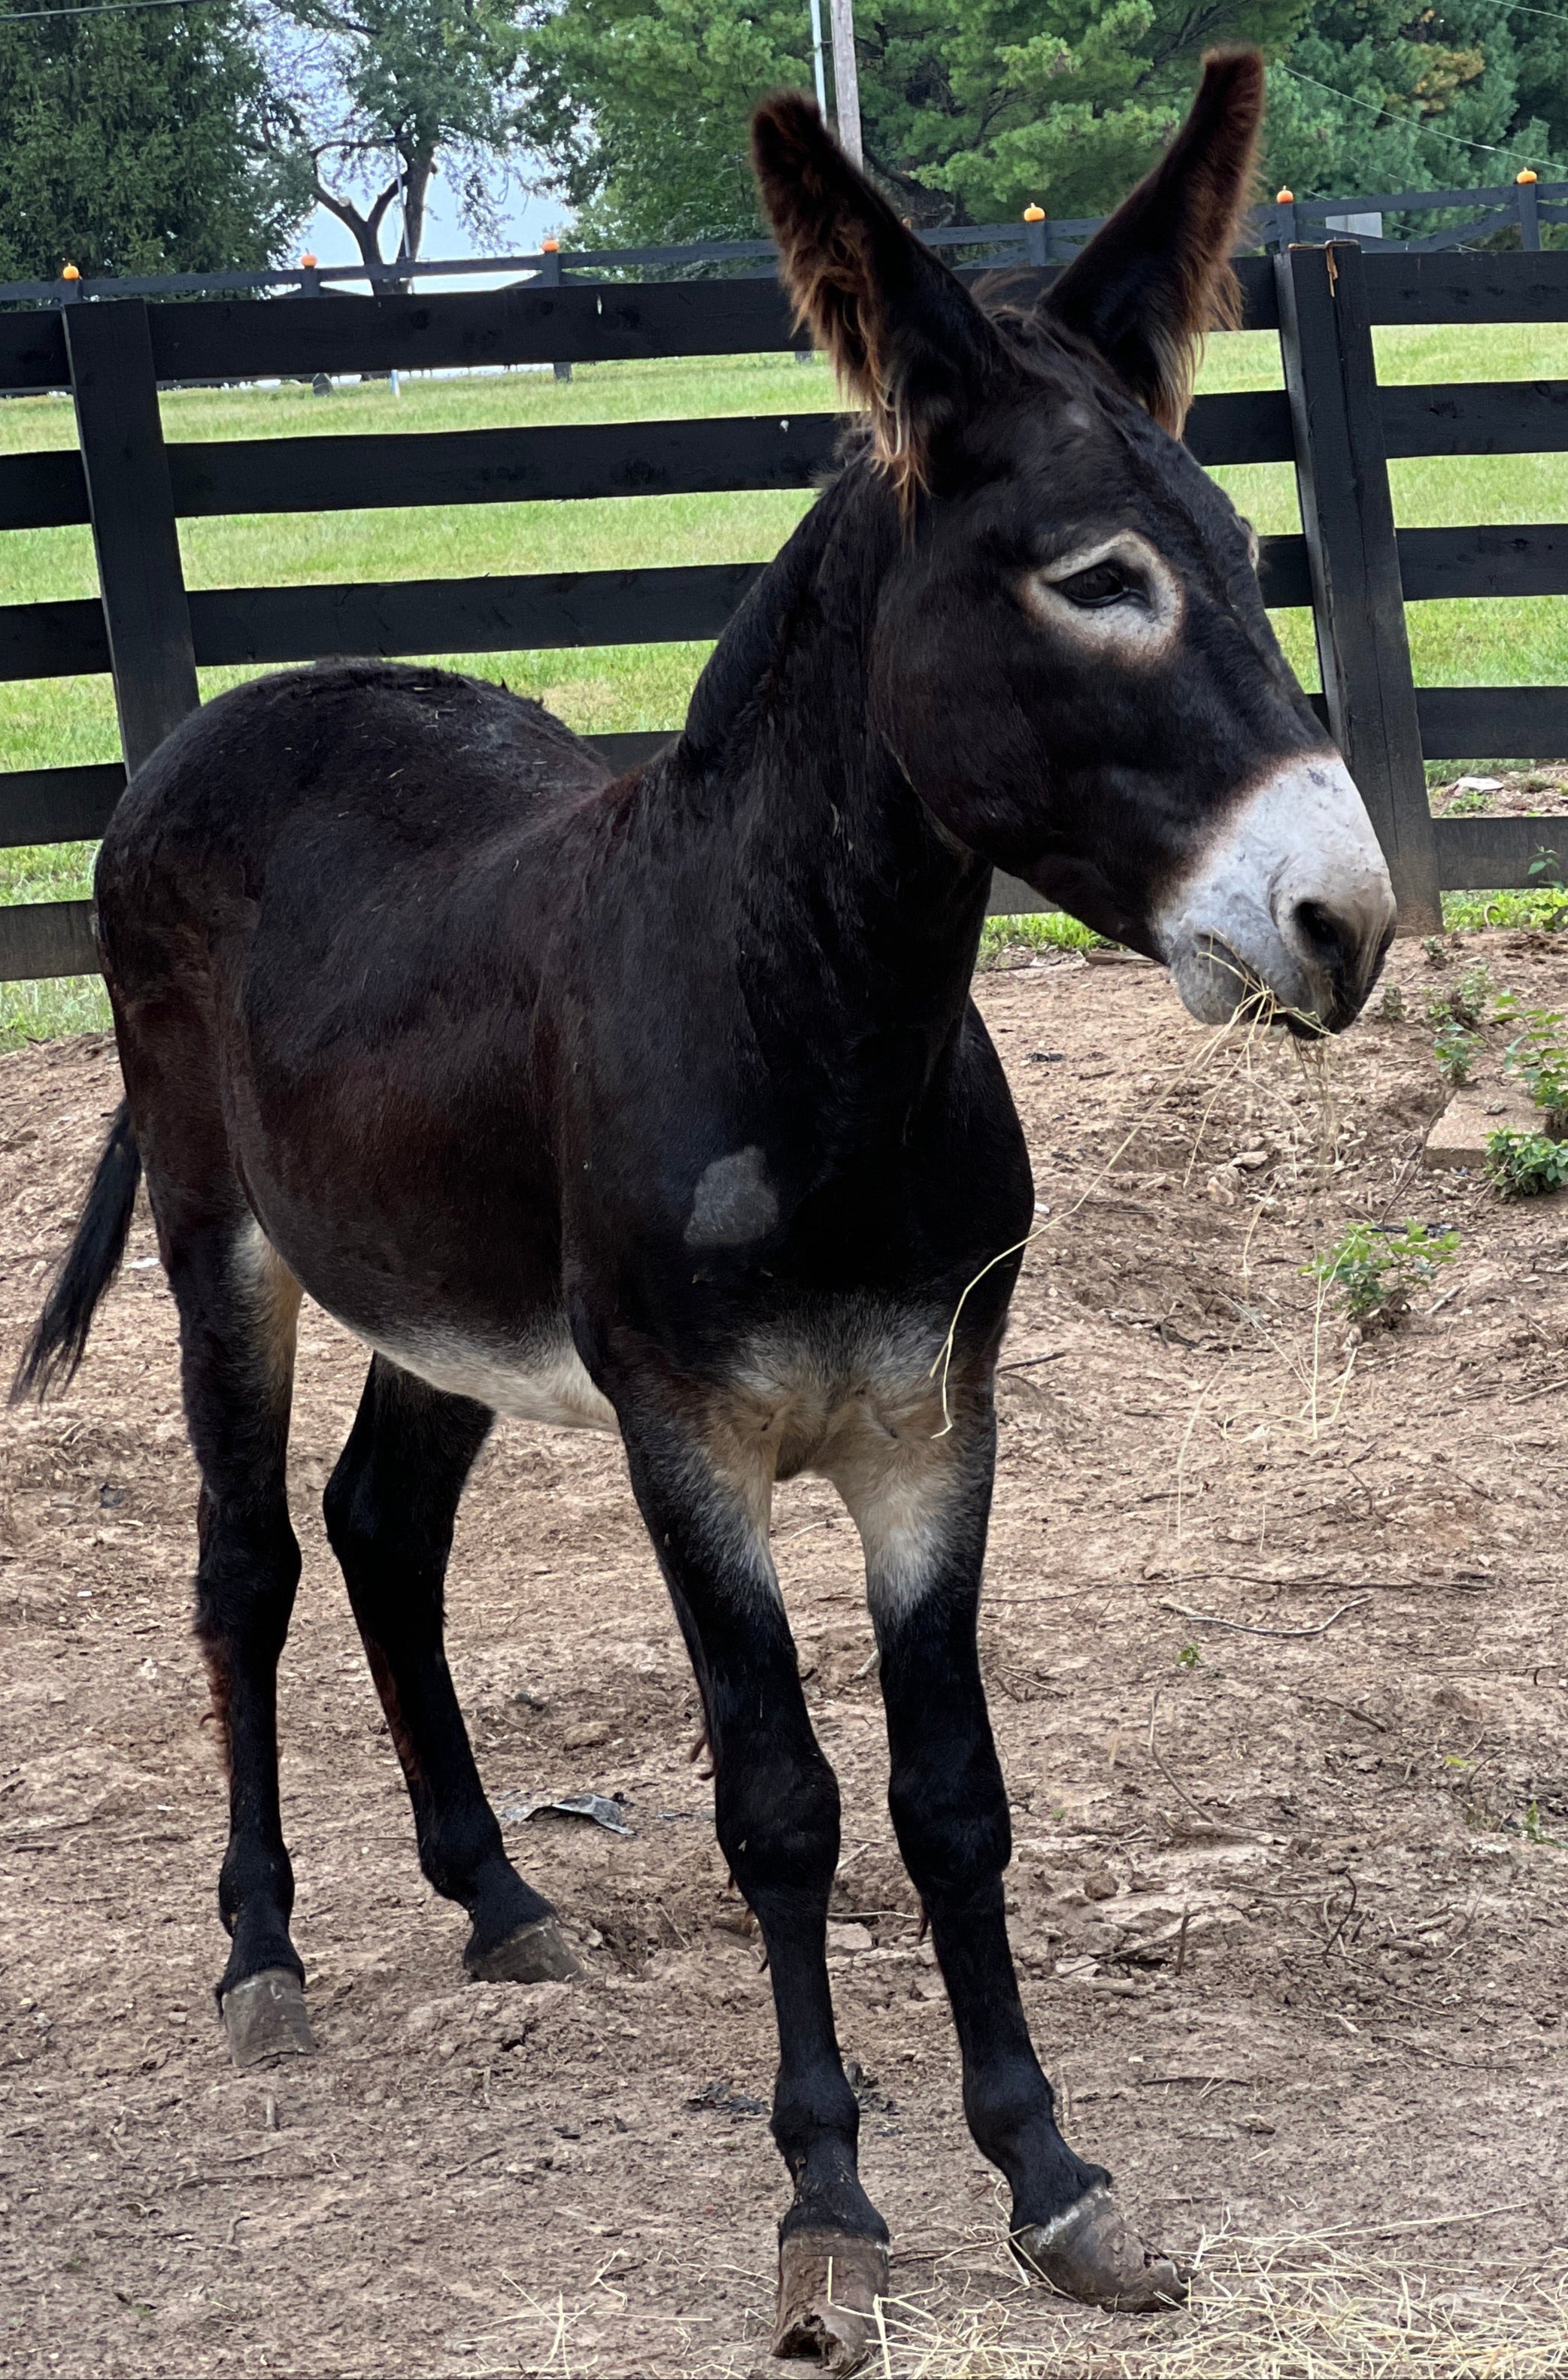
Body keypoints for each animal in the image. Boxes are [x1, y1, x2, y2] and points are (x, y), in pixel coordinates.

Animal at [14, 53, 1394, 2370]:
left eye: (1238, 558)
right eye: (1099, 579)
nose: (1346, 923)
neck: (814, 1031)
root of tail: (251, 700)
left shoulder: (932, 1429)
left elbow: (948, 1798)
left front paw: (1048, 2176)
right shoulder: (690, 1441)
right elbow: (783, 1803)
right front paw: (825, 2210)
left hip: (445, 1294)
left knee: (381, 1528)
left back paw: (496, 1898)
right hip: (231, 1243)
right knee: (245, 1565)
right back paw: (260, 1955)